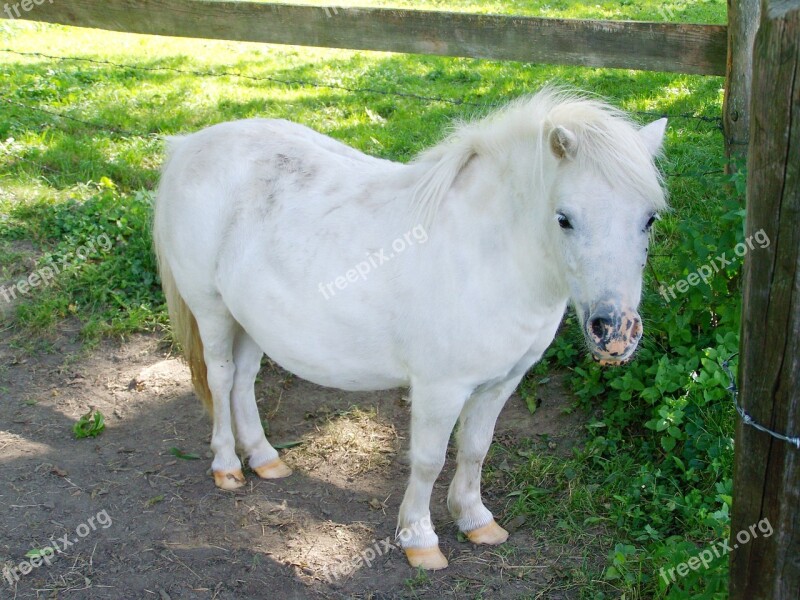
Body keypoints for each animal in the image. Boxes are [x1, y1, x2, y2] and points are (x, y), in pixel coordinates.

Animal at [153, 89, 664, 572]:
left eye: (649, 218)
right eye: (564, 218)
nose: (614, 332)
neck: (486, 254)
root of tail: (189, 145)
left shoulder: (501, 383)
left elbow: (475, 449)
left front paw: (476, 520)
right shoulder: (441, 388)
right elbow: (428, 460)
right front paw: (420, 539)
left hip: (250, 321)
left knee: (243, 382)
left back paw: (264, 459)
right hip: (212, 310)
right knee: (221, 379)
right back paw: (227, 466)